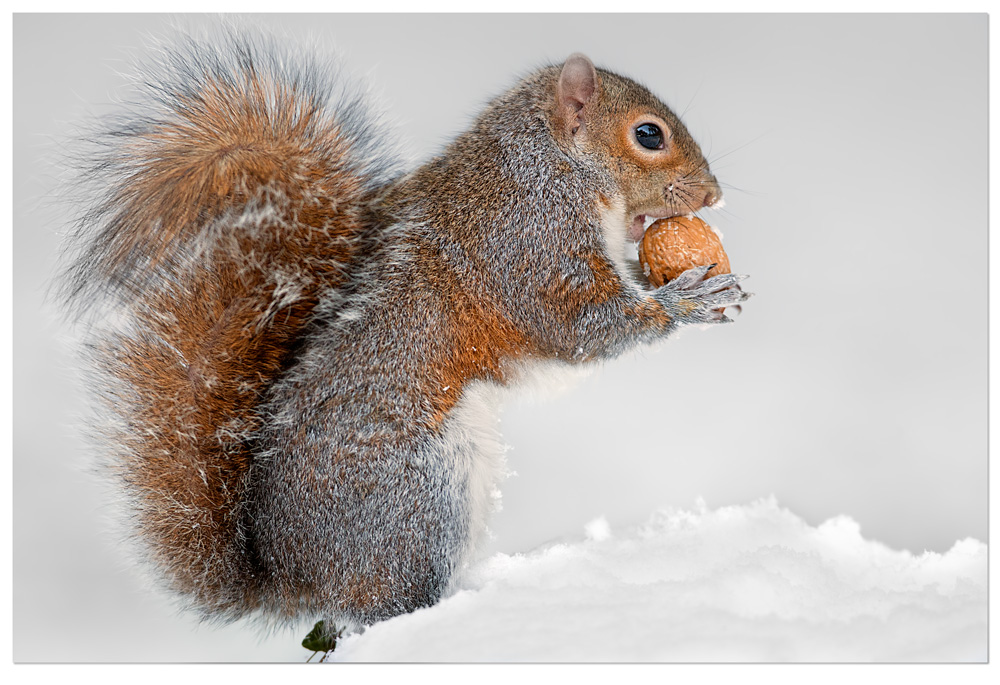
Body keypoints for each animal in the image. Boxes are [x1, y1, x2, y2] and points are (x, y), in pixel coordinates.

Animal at [59, 28, 749, 631]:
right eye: (648, 134)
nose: (713, 196)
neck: (550, 160)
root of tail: (292, 582)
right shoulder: (528, 239)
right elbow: (584, 324)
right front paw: (688, 299)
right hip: (420, 495)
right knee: (389, 604)